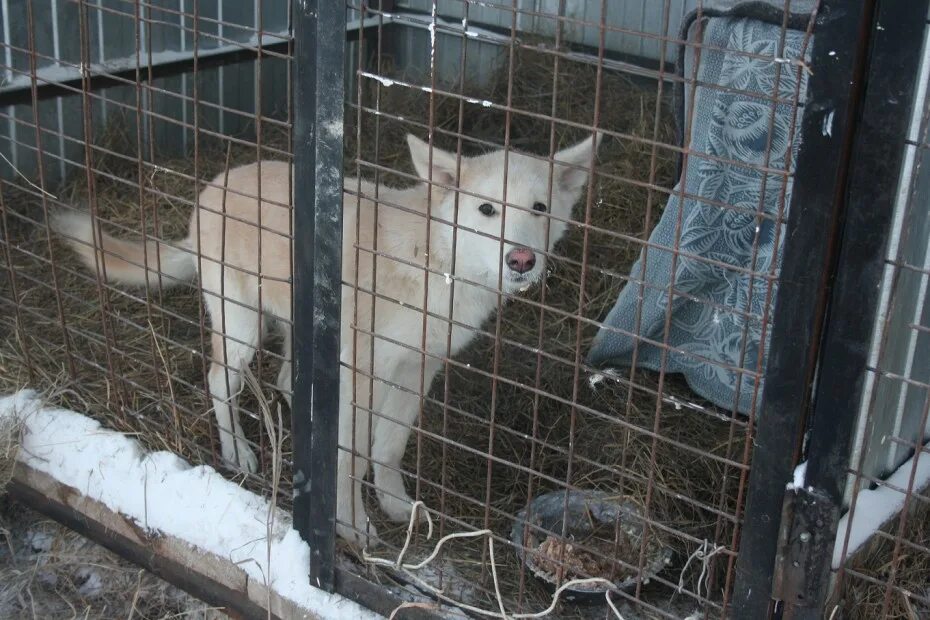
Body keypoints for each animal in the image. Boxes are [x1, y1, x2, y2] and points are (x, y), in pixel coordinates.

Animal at [58, 134, 600, 544]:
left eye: (539, 209)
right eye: (487, 209)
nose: (522, 260)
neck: (435, 265)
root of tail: (213, 187)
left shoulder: (416, 370)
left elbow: (387, 449)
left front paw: (395, 506)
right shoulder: (361, 374)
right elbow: (351, 459)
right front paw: (351, 526)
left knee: (284, 382)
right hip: (241, 330)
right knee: (217, 381)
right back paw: (238, 453)